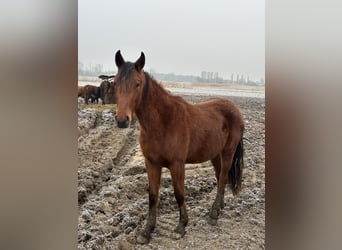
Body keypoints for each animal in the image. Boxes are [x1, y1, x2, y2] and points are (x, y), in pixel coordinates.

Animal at [113, 50, 244, 244]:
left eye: (137, 83)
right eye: (115, 82)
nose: (122, 120)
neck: (164, 121)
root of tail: (235, 108)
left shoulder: (177, 165)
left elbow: (179, 193)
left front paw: (181, 227)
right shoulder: (151, 163)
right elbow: (153, 195)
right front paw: (146, 231)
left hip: (228, 152)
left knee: (222, 178)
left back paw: (214, 214)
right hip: (215, 154)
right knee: (221, 176)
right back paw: (219, 207)